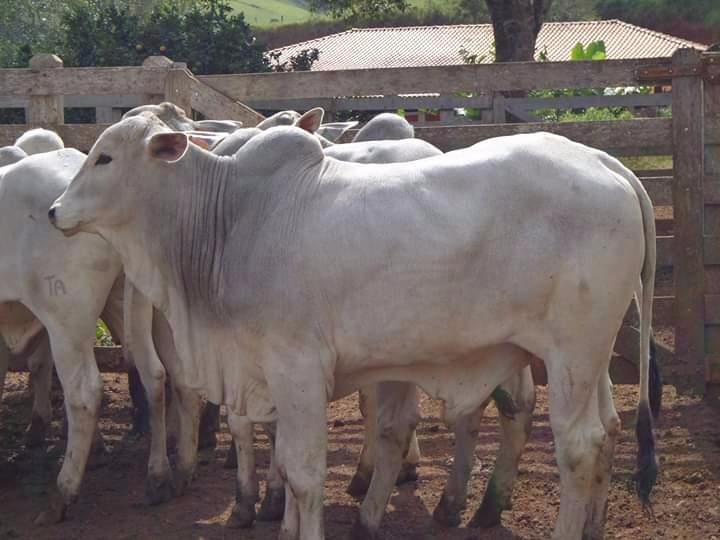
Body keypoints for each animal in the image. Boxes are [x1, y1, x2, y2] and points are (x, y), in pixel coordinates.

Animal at [49, 115, 660, 540]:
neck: (234, 221)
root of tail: (606, 162)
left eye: (104, 158)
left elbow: (305, 472)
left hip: (573, 353)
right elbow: (288, 463)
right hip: (589, 358)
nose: (54, 212)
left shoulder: (297, 370)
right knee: (606, 432)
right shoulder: (272, 375)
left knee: (578, 446)